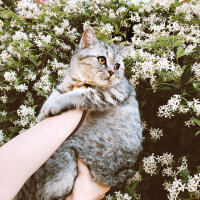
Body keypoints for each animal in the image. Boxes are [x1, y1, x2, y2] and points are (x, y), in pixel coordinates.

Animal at [15, 27, 143, 200]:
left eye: (117, 66)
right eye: (102, 60)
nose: (111, 72)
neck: (81, 81)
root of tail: (115, 174)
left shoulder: (108, 94)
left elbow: (76, 96)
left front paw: (53, 106)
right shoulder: (63, 86)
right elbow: (54, 95)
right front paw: (43, 114)